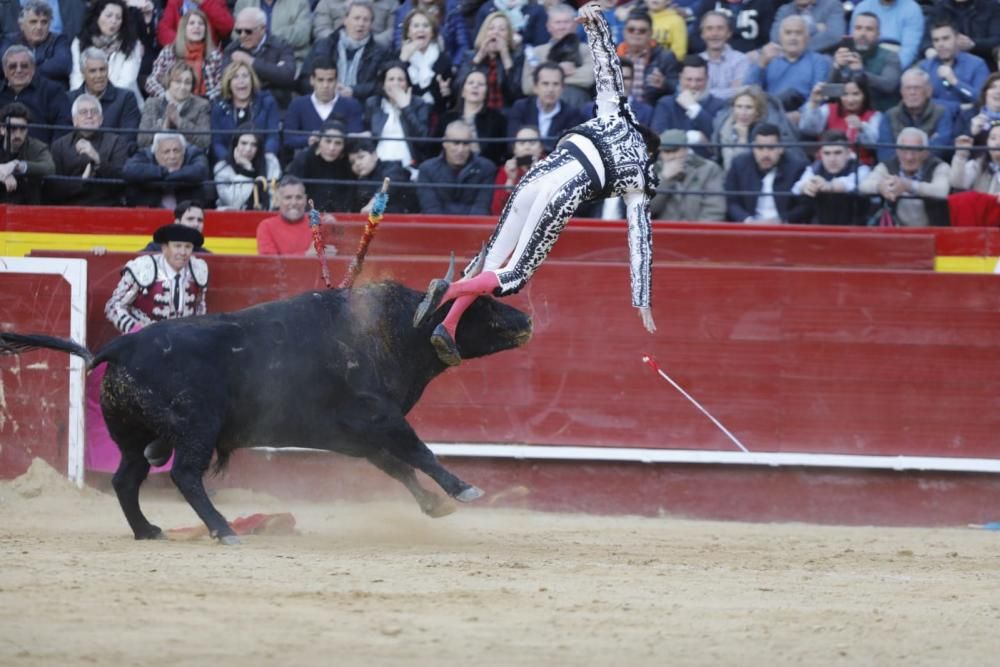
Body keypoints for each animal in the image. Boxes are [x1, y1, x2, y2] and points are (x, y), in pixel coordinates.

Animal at [1, 280, 532, 544]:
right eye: (479, 307)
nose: (525, 318)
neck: (394, 330)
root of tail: (122, 345)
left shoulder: (354, 436)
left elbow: (397, 465)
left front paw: (435, 505)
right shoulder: (378, 417)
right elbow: (419, 452)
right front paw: (462, 490)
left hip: (134, 437)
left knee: (125, 479)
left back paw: (147, 531)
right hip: (196, 427)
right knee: (185, 475)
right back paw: (222, 530)